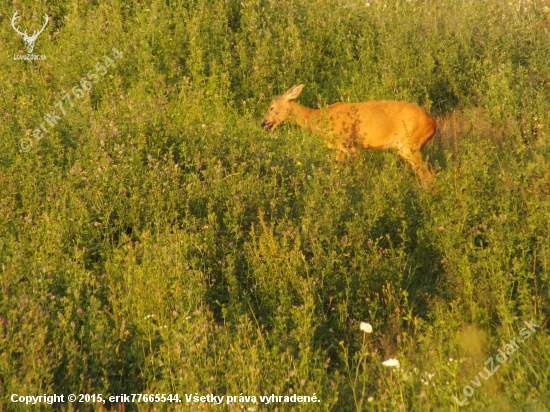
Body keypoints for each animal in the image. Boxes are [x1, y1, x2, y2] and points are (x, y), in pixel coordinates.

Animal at [264, 84, 440, 187]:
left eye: (272, 107)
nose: (264, 123)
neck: (322, 118)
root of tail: (433, 123)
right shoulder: (340, 149)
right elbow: (336, 170)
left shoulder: (348, 144)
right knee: (430, 171)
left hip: (409, 145)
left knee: (425, 174)